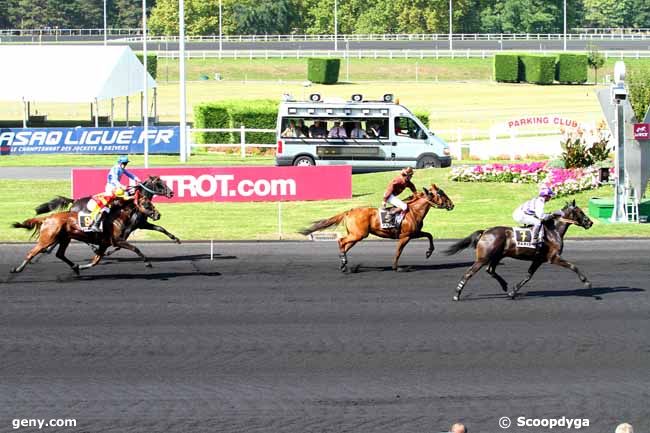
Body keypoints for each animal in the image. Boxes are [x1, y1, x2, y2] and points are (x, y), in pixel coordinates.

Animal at [11, 183, 162, 274]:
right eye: (147, 204)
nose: (158, 215)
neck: (117, 217)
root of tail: (48, 218)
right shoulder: (117, 240)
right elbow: (135, 248)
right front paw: (148, 263)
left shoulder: (105, 244)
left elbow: (96, 260)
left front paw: (81, 266)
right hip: (48, 238)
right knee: (32, 252)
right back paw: (17, 269)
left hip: (64, 239)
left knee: (60, 254)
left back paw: (74, 267)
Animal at [298, 184, 450, 272]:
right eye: (441, 194)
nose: (451, 204)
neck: (413, 211)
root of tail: (349, 211)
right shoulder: (405, 236)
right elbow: (398, 252)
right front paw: (396, 267)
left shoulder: (414, 233)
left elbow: (429, 235)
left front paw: (429, 252)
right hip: (358, 234)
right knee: (341, 241)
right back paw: (343, 261)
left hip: (356, 235)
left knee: (345, 246)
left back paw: (344, 263)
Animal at [446, 200, 592, 298]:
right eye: (580, 211)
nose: (590, 222)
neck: (553, 231)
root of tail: (485, 231)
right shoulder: (553, 257)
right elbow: (573, 266)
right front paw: (586, 282)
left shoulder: (538, 259)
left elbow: (528, 276)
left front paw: (513, 291)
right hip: (483, 258)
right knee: (469, 273)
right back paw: (456, 295)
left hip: (497, 256)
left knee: (490, 270)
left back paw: (504, 285)